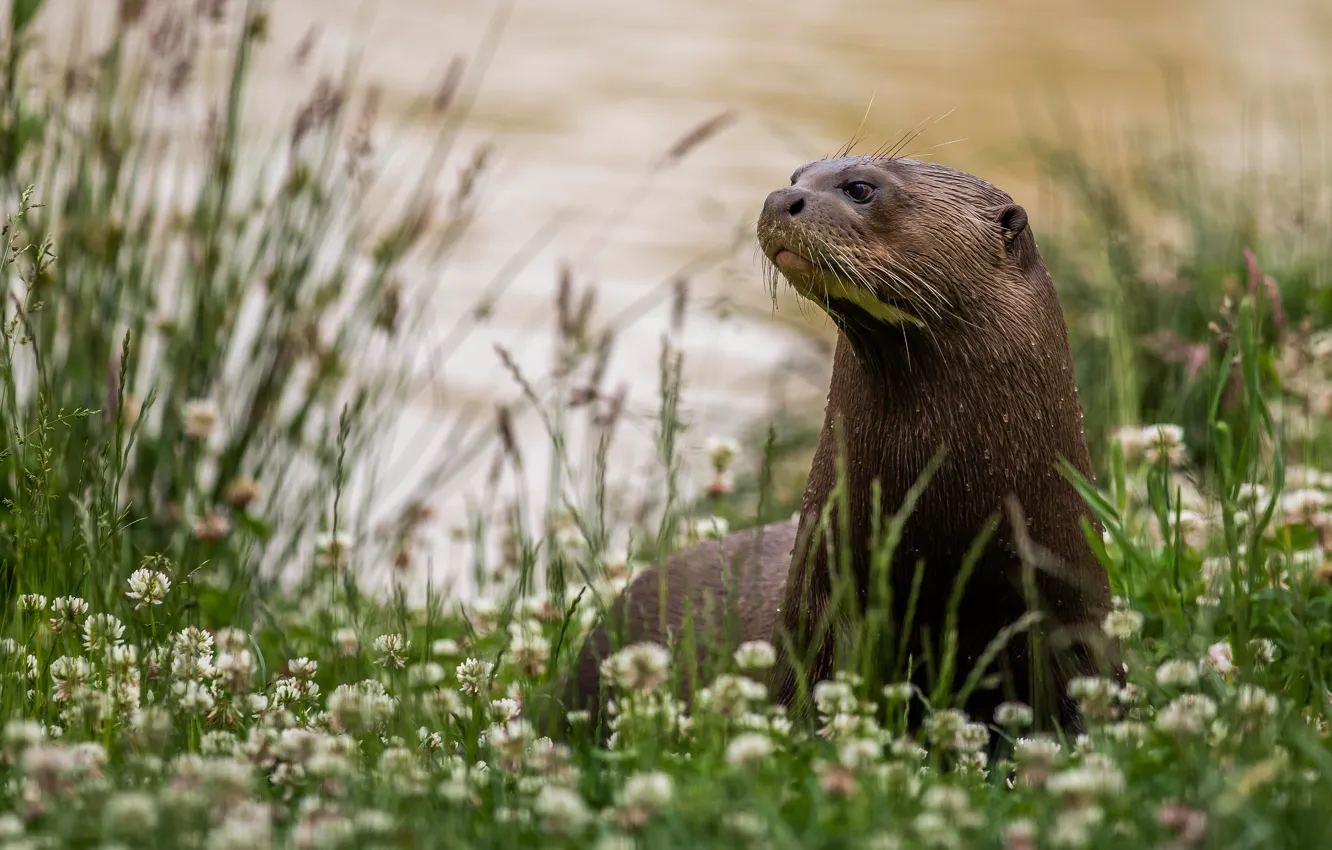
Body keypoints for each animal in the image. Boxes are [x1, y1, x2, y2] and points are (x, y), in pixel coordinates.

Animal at [556, 156, 1118, 740]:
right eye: (797, 175)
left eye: (861, 188)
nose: (780, 198)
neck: (942, 538)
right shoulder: (818, 607)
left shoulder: (1073, 617)